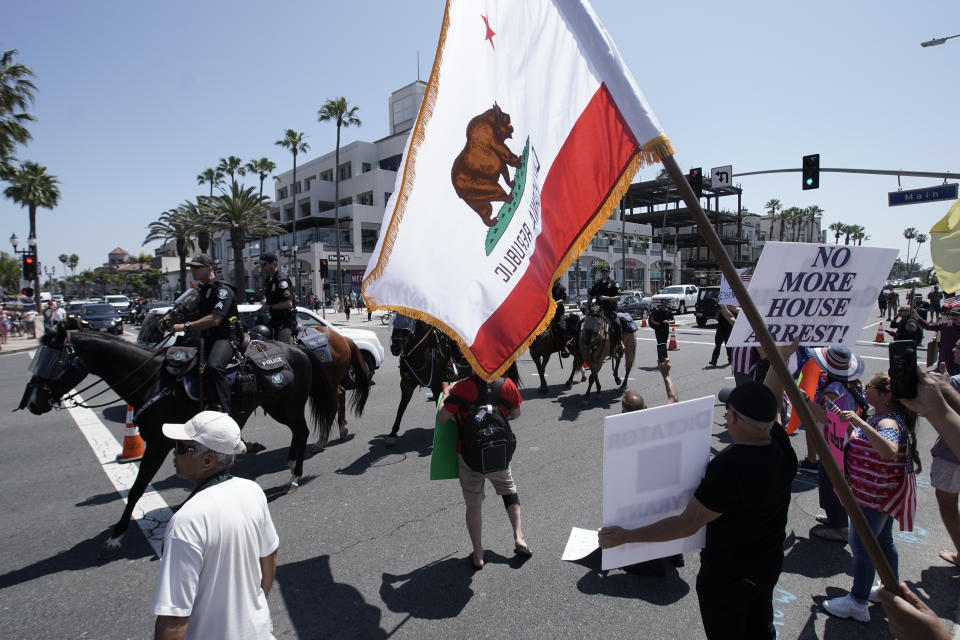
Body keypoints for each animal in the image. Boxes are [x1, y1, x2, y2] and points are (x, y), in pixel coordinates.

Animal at [16, 328, 340, 556]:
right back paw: (285, 466)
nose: (33, 402)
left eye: (54, 360)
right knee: (298, 433)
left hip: (287, 405)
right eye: (40, 357)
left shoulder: (158, 444)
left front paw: (115, 538)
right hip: (276, 405)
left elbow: (136, 490)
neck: (153, 381)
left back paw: (294, 475)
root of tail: (296, 348)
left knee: (301, 432)